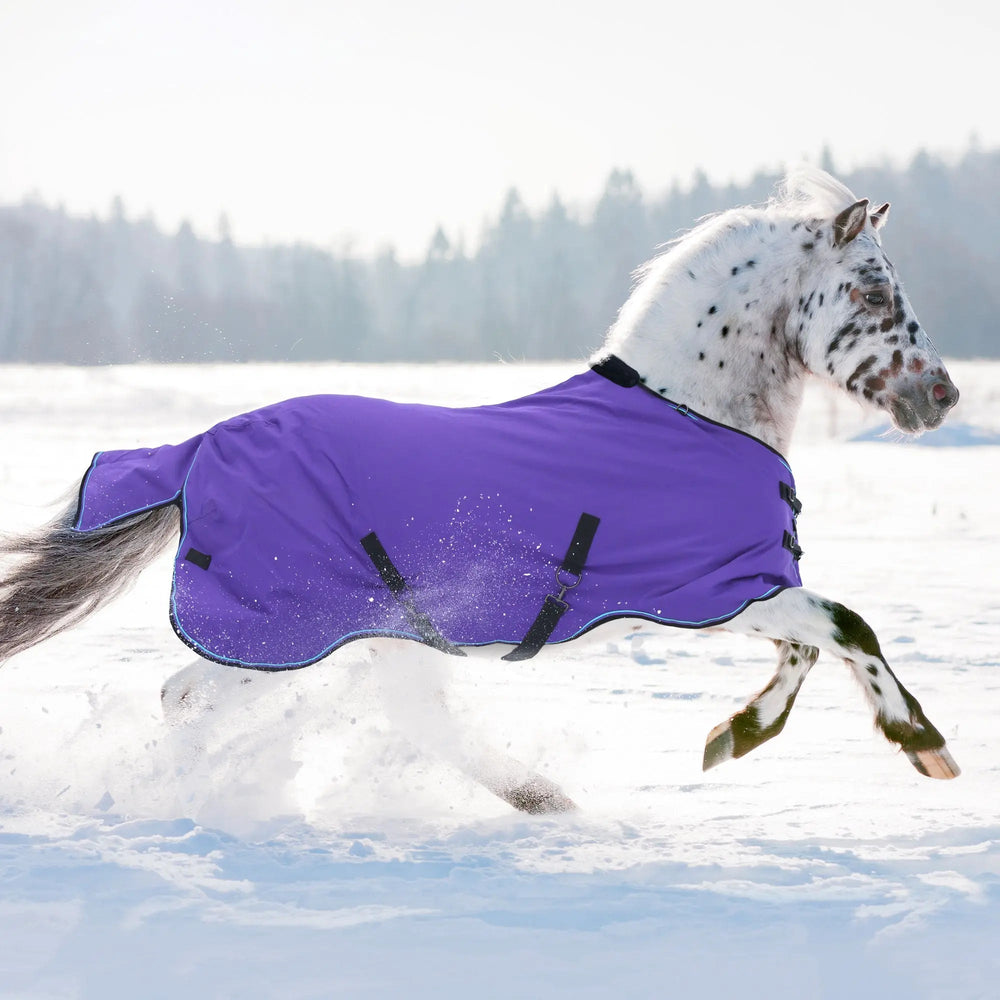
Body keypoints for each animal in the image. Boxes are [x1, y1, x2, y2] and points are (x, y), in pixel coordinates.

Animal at [0, 167, 961, 814]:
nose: (942, 396)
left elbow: (809, 647)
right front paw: (925, 747)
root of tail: (199, 449)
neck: (690, 414)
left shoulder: (735, 593)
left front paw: (730, 738)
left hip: (356, 634)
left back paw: (544, 803)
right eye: (873, 290)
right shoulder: (714, 591)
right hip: (292, 633)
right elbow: (848, 628)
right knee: (197, 701)